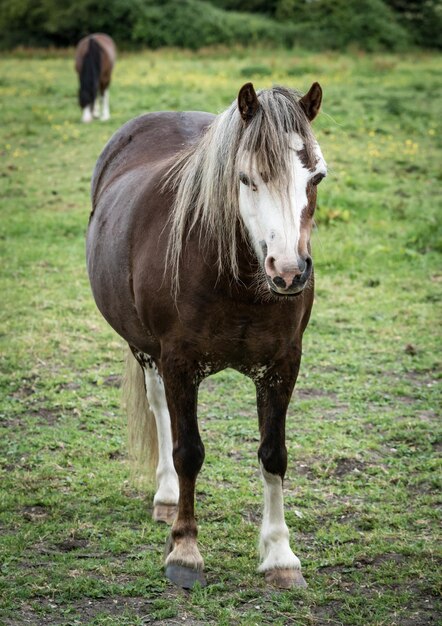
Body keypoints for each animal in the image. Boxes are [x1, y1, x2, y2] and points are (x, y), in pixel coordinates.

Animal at [87, 80, 328, 588]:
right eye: (246, 178)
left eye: (315, 177)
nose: (289, 272)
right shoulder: (179, 362)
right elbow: (188, 452)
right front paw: (184, 551)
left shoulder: (282, 365)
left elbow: (273, 454)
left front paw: (280, 557)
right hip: (147, 351)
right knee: (160, 410)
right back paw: (165, 497)